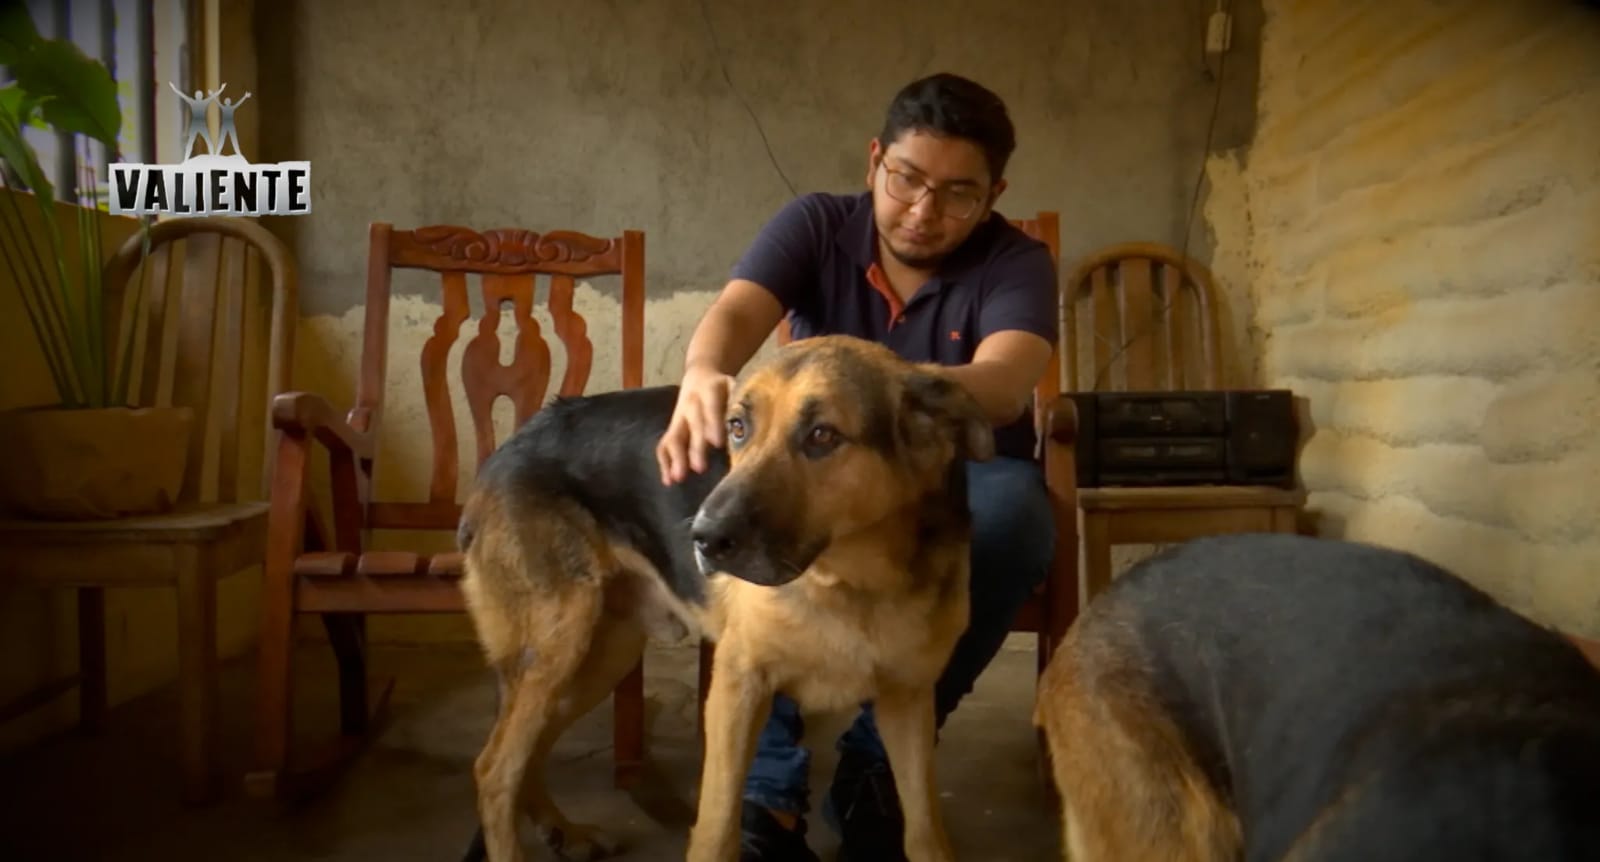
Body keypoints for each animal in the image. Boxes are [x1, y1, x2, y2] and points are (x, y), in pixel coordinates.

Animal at [457, 335, 992, 862]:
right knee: (494, 769)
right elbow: (716, 830)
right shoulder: (739, 687)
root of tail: (507, 449)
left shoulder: (908, 701)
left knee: (524, 755)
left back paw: (564, 830)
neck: (853, 583)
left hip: (600, 656)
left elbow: (924, 831)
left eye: (822, 436)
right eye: (737, 427)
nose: (703, 538)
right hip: (559, 648)